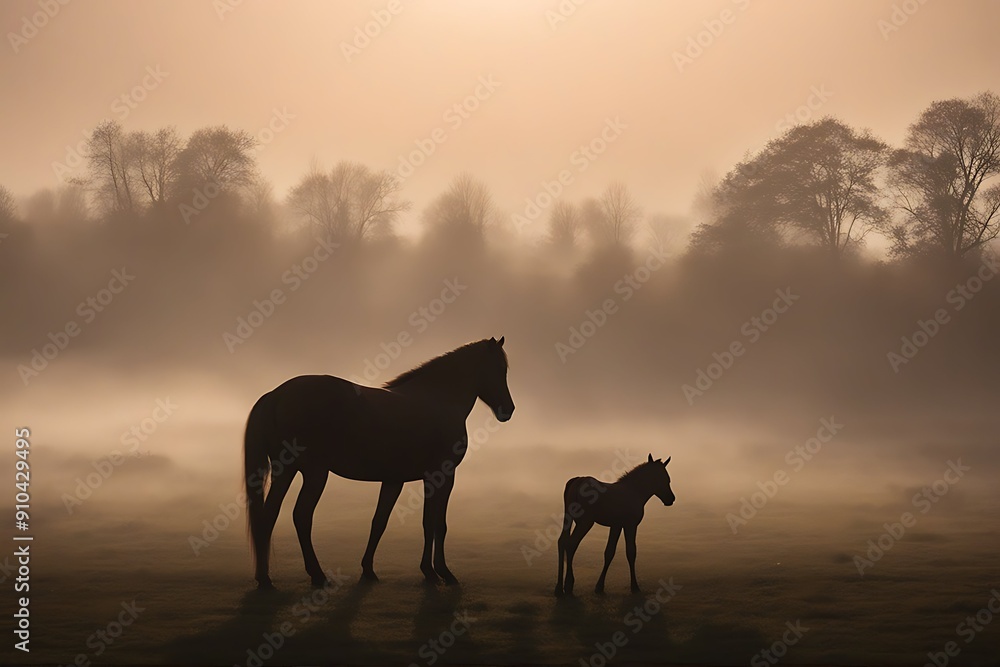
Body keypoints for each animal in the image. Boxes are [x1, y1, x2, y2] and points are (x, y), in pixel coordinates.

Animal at [243, 336, 514, 589]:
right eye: (500, 369)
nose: (508, 410)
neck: (438, 399)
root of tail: (276, 395)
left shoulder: (395, 480)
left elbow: (380, 522)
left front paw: (369, 569)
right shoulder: (441, 476)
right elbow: (435, 523)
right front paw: (439, 572)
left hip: (286, 471)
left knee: (269, 514)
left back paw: (264, 578)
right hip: (314, 473)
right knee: (301, 516)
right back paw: (317, 575)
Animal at [555, 454, 674, 596]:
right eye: (664, 478)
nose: (671, 499)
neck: (635, 492)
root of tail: (577, 481)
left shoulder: (616, 525)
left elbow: (609, 552)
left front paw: (600, 586)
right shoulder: (630, 525)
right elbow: (631, 552)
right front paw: (634, 586)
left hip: (569, 518)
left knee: (562, 541)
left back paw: (558, 587)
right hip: (585, 522)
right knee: (571, 544)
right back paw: (568, 583)